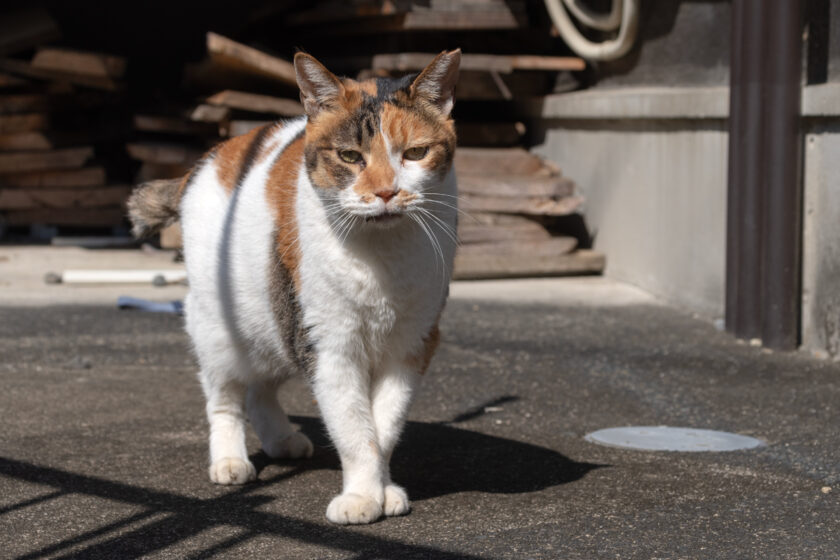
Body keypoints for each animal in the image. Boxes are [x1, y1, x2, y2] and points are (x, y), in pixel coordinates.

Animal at [126, 51, 460, 524]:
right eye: (350, 156)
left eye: (415, 153)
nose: (386, 192)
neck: (382, 257)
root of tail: (209, 159)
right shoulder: (328, 346)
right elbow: (355, 429)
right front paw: (362, 498)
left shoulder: (411, 345)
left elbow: (385, 427)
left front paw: (385, 490)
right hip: (220, 328)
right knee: (225, 396)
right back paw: (230, 461)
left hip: (273, 319)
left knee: (260, 387)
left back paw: (282, 440)